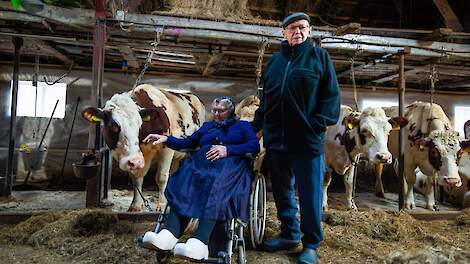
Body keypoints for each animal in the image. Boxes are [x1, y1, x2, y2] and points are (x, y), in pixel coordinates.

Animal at [82, 84, 204, 212]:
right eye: (113, 126)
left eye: (140, 125)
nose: (134, 161)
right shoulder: (141, 155)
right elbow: (137, 178)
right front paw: (135, 204)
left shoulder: (166, 149)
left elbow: (161, 177)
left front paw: (162, 205)